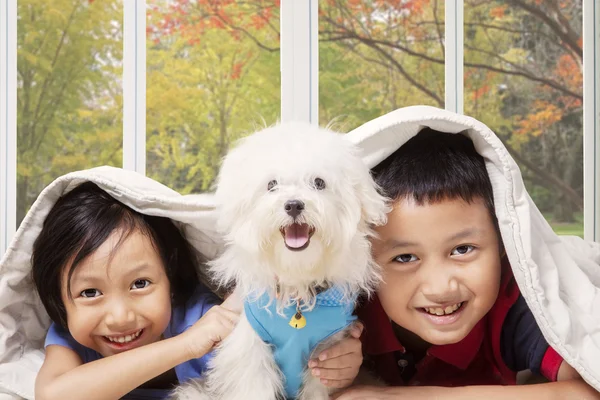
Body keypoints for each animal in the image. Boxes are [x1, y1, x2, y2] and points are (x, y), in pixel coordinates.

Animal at [172, 123, 390, 398]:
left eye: (319, 183)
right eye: (272, 184)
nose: (294, 205)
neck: (296, 283)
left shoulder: (327, 353)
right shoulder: (251, 351)